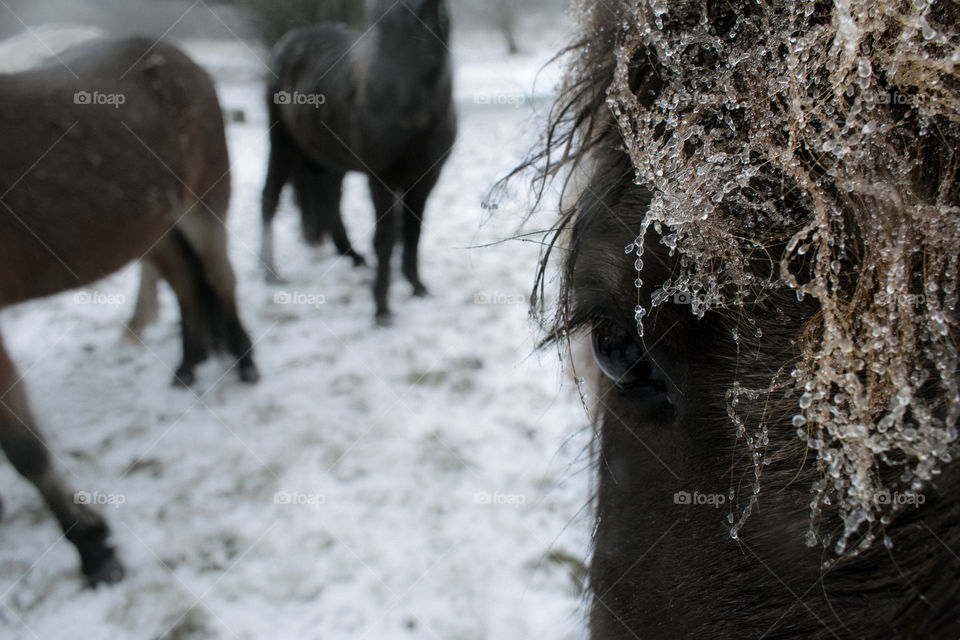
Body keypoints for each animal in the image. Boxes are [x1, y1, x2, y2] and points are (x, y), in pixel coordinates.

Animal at [0, 35, 258, 584]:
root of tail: (177, 57)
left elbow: (23, 449)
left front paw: (94, 550)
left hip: (202, 204)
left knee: (218, 278)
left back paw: (245, 363)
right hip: (154, 223)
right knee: (186, 284)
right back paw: (187, 366)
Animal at [260, 0, 456, 322]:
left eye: (424, 21)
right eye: (376, 22)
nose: (379, 106)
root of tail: (288, 43)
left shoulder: (426, 178)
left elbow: (412, 231)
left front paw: (416, 286)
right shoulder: (381, 178)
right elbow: (386, 238)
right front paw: (382, 308)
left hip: (328, 157)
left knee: (330, 201)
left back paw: (352, 256)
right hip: (282, 143)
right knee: (270, 197)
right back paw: (270, 273)